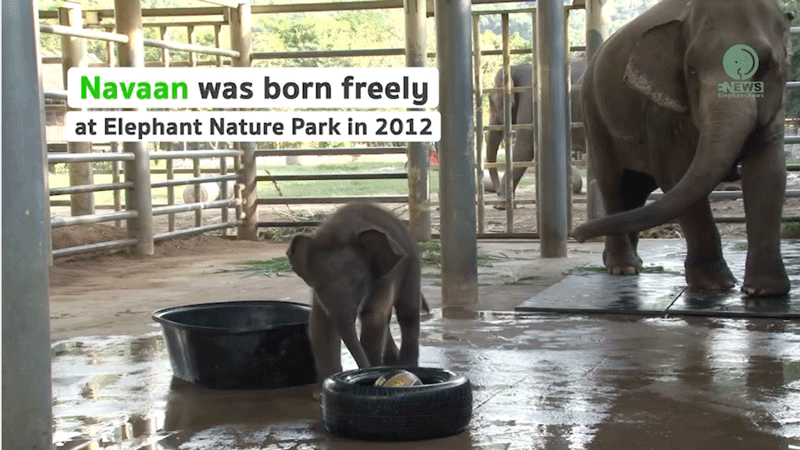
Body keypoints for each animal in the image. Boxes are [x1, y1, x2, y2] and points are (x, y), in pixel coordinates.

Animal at [286, 203, 428, 384]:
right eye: (318, 287)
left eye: (360, 285)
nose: (365, 371)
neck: (337, 233)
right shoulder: (318, 297)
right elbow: (320, 326)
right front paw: (325, 383)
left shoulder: (384, 279)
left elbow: (373, 320)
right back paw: (391, 361)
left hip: (411, 265)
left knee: (407, 313)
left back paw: (406, 364)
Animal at [576, 0, 792, 298]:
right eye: (690, 70)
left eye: (765, 64)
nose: (577, 233)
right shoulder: (661, 110)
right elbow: (676, 171)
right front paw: (714, 286)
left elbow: (768, 172)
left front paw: (765, 291)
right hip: (594, 115)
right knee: (612, 181)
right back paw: (623, 267)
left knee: (635, 190)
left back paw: (629, 262)